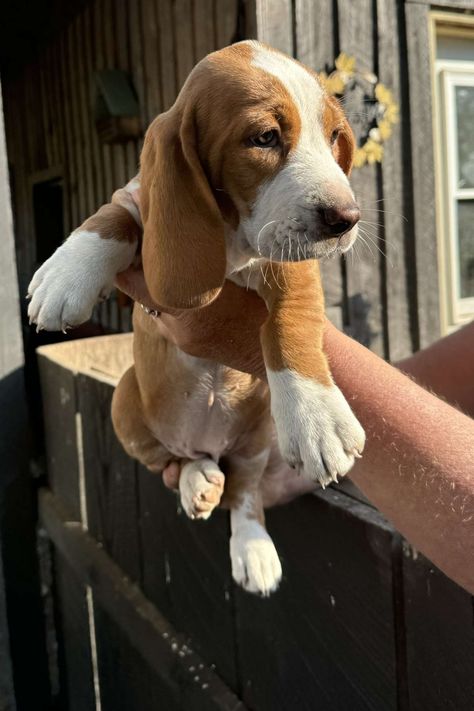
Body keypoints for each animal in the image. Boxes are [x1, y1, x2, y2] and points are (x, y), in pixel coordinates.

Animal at [27, 39, 364, 596]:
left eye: (335, 136)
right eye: (265, 138)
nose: (347, 219)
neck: (232, 238)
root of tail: (209, 444)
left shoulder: (290, 264)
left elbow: (289, 322)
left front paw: (316, 416)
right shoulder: (141, 199)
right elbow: (113, 215)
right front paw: (65, 272)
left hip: (256, 439)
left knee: (245, 494)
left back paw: (253, 548)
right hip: (125, 400)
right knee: (175, 459)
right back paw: (197, 480)